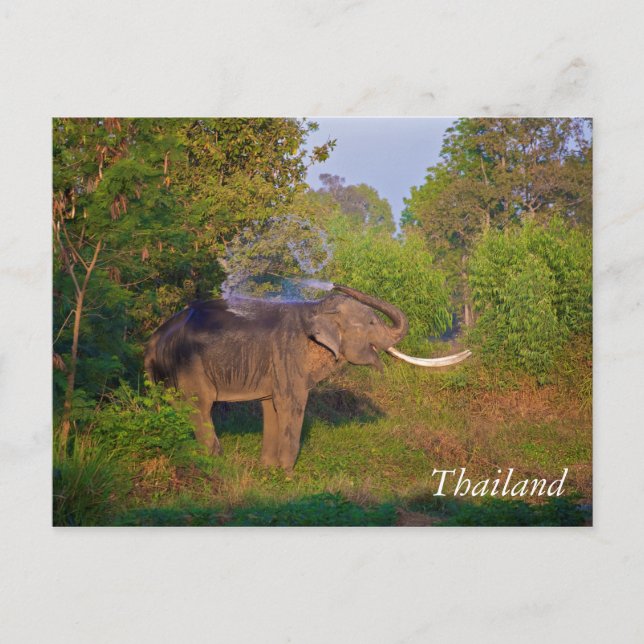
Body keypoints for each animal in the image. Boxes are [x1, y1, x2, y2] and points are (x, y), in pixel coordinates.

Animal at [144, 284, 471, 470]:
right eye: (370, 322)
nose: (337, 282)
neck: (315, 309)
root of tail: (154, 339)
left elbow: (271, 404)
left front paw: (269, 470)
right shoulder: (289, 354)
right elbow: (292, 402)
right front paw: (288, 474)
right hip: (189, 366)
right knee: (198, 406)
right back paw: (214, 462)